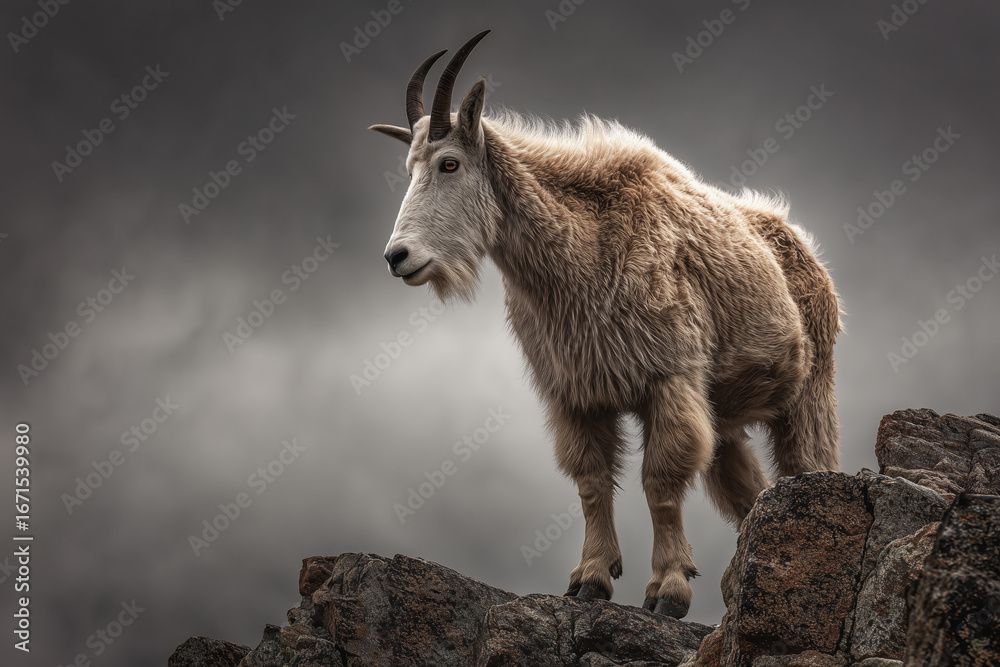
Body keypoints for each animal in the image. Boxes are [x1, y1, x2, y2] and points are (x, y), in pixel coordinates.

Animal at [370, 31, 841, 618]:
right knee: (748, 492)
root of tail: (806, 250)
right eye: (410, 169)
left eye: (450, 164)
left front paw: (668, 590)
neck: (584, 249)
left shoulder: (668, 379)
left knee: (808, 468)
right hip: (728, 418)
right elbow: (591, 483)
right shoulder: (575, 392)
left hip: (809, 396)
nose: (398, 257)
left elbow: (659, 481)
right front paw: (591, 579)